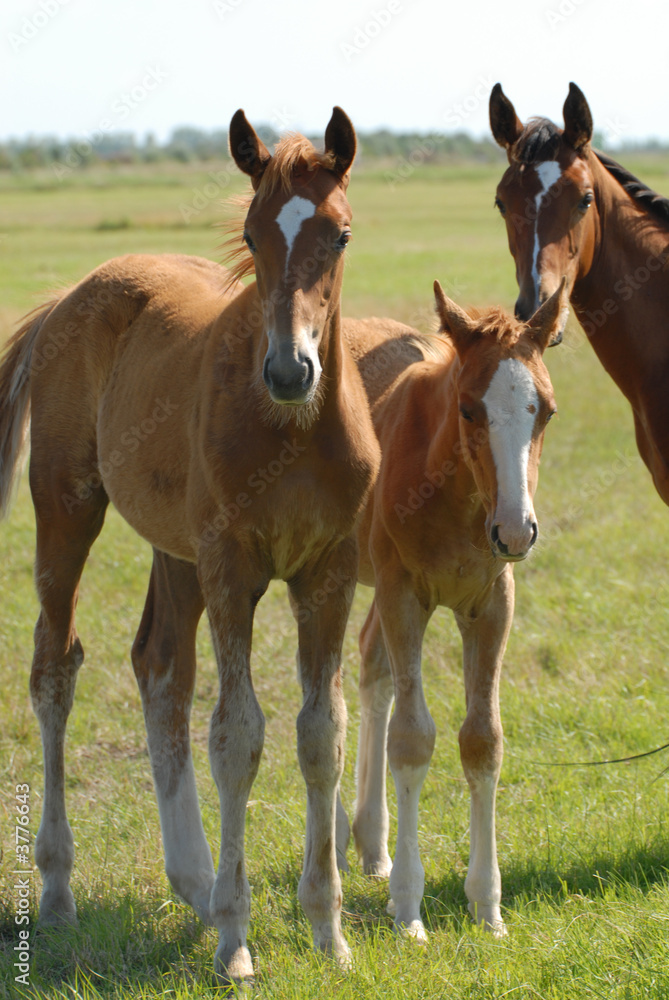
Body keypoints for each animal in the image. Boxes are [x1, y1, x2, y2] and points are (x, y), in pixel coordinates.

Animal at [0, 105, 378, 980]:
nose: (288, 371)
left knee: (159, 666)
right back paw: (60, 888)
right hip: (70, 513)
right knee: (54, 668)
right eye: (250, 232)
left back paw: (196, 882)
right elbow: (238, 735)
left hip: (174, 549)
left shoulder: (330, 573)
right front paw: (237, 941)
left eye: (339, 234)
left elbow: (322, 733)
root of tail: (70, 296)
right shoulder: (231, 568)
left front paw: (327, 929)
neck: (292, 431)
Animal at [344, 286, 560, 940]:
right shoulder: (403, 595)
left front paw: (487, 906)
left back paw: (372, 843)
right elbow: (413, 739)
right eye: (468, 410)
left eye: (546, 411)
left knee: (372, 664)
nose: (516, 530)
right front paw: (409, 909)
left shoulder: (491, 604)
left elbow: (482, 740)